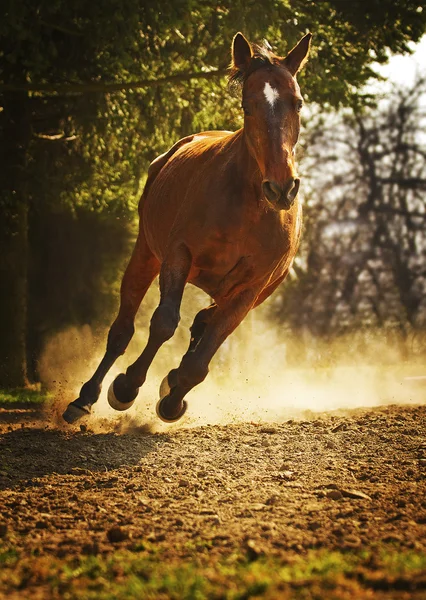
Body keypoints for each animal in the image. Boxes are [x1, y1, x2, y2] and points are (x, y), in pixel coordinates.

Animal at [61, 30, 312, 424]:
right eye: (248, 105)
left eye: (297, 103)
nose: (282, 188)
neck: (249, 206)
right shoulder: (179, 255)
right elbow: (164, 322)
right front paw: (126, 387)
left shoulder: (251, 288)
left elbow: (204, 353)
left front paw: (172, 398)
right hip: (145, 256)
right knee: (122, 329)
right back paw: (84, 398)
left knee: (204, 323)